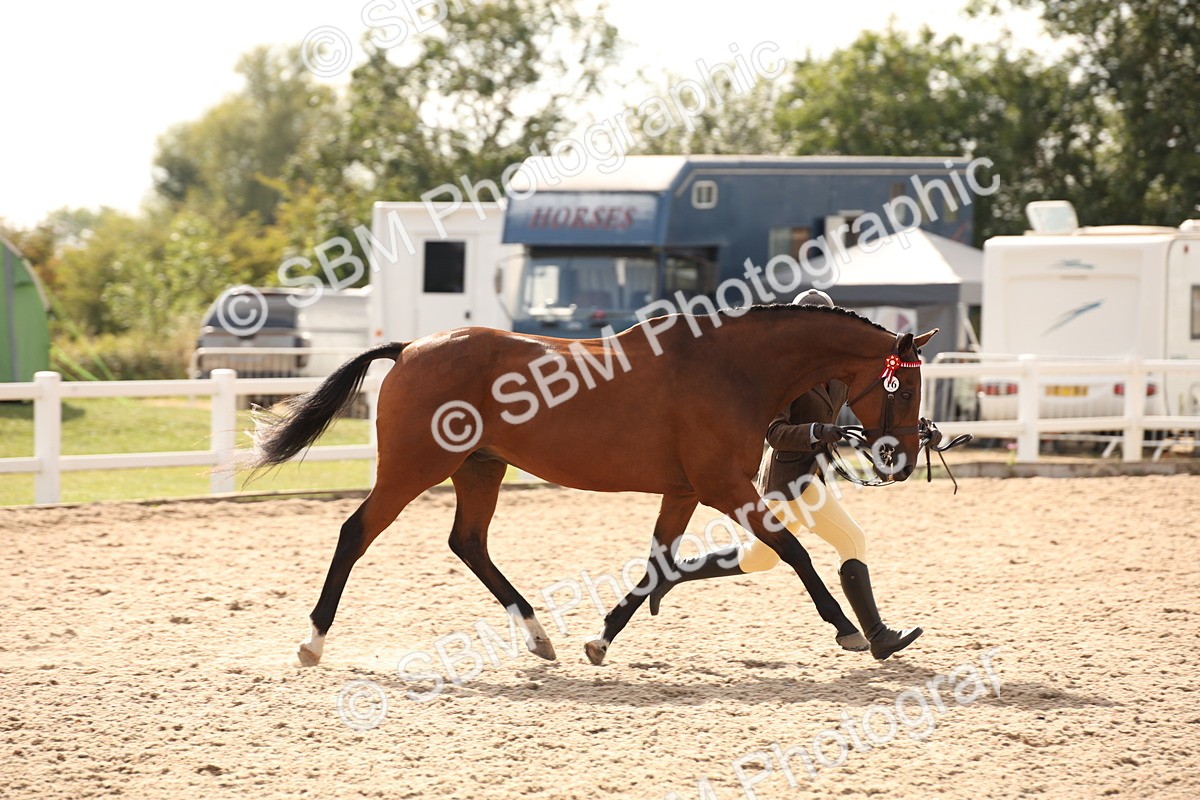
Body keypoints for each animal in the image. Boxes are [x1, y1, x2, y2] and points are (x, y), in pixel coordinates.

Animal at [243, 304, 937, 667]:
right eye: (904, 387)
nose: (902, 459)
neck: (730, 368)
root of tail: (412, 347)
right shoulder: (722, 485)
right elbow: (793, 552)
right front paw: (850, 631)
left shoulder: (686, 490)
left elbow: (659, 562)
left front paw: (601, 638)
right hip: (416, 468)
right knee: (354, 533)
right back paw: (312, 642)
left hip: (479, 467)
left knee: (468, 543)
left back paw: (538, 636)